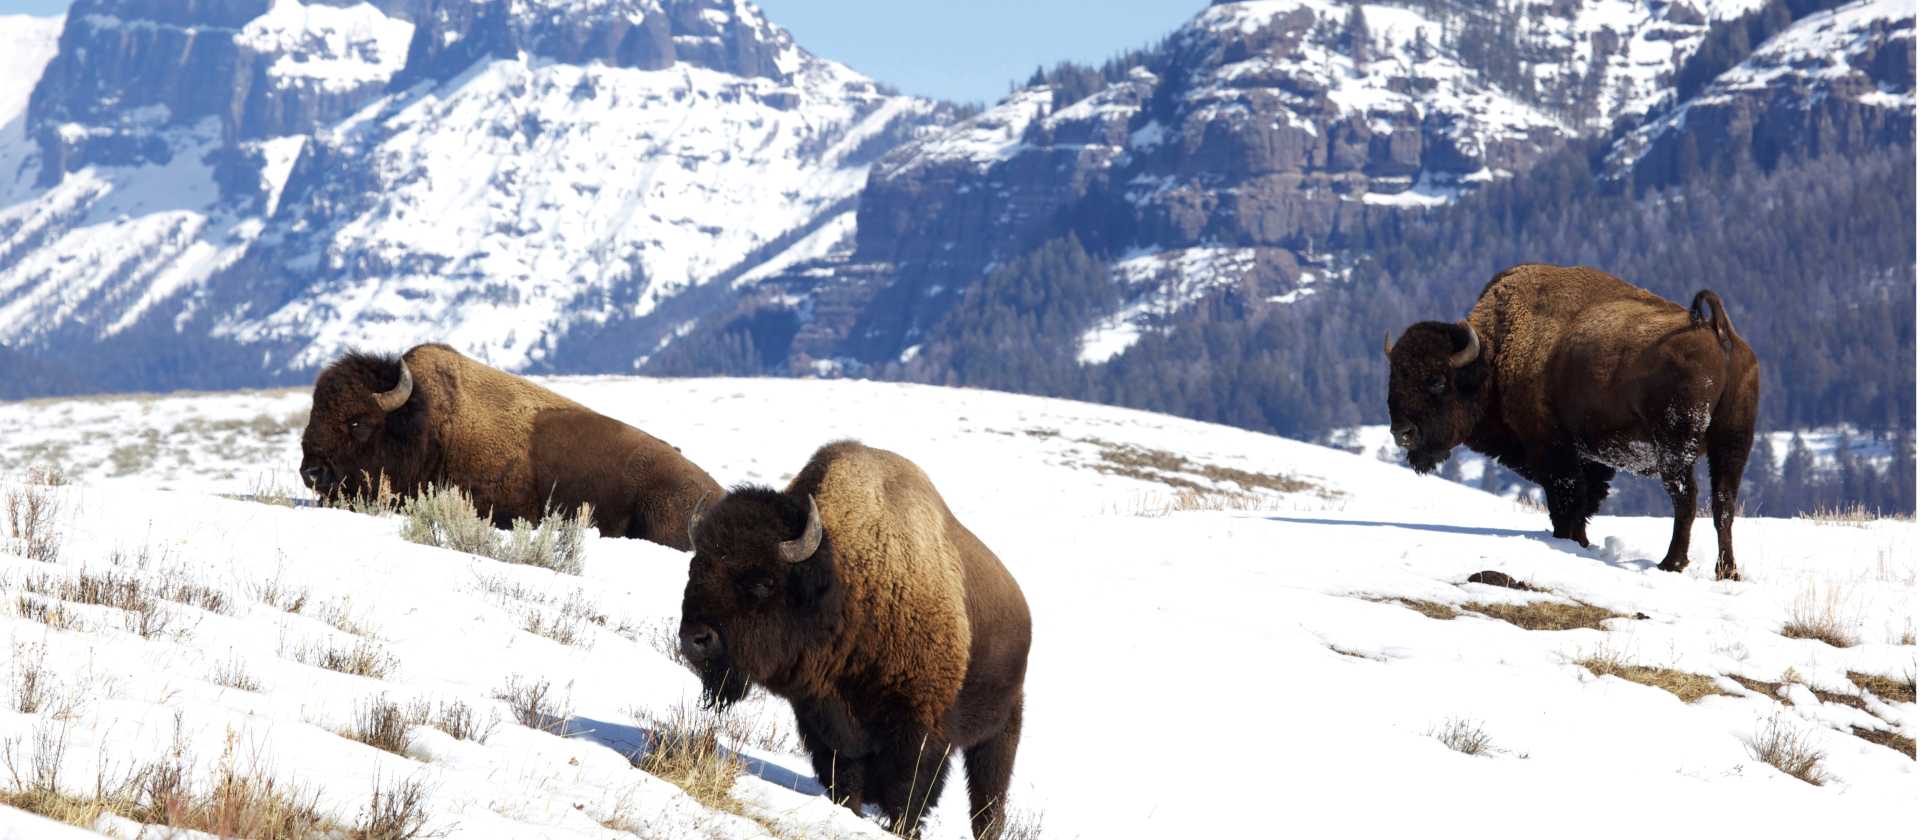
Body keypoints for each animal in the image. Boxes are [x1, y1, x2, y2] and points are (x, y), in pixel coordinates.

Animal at [677, 441, 1031, 838]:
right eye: (695, 568)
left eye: (764, 581)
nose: (695, 639)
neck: (842, 582)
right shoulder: (823, 719)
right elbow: (846, 779)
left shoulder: (919, 727)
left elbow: (908, 793)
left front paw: (902, 829)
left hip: (1002, 730)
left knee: (988, 796)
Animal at [1386, 264, 1760, 580]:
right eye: (1394, 377)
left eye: (1436, 380)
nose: (1402, 433)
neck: (1494, 356)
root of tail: (1717, 331)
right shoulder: (1590, 460)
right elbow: (1584, 503)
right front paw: (1579, 541)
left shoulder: (1554, 452)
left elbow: (1567, 502)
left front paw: (1567, 541)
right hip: (1732, 443)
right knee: (1723, 503)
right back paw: (1726, 572)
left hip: (1676, 447)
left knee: (1686, 498)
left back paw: (1671, 563)